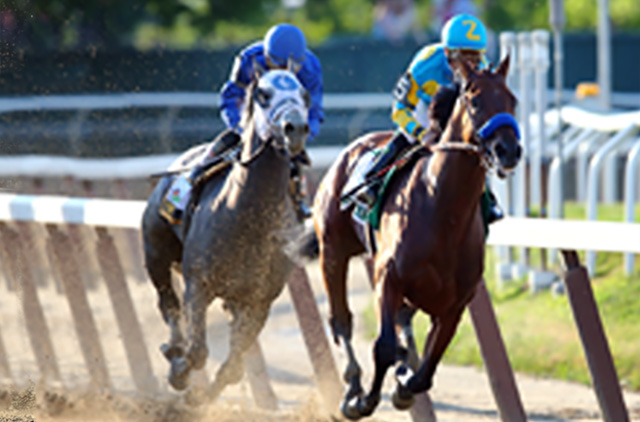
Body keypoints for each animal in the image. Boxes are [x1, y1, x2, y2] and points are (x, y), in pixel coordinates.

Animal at [141, 67, 311, 399]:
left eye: (304, 93)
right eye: (263, 94)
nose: (295, 128)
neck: (246, 217)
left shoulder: (259, 300)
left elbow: (233, 368)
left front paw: (201, 399)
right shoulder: (198, 282)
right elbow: (197, 352)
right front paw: (180, 372)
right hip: (156, 253)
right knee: (168, 304)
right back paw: (173, 350)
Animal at [297, 56, 521, 419]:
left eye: (512, 100)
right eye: (474, 100)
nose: (508, 150)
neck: (442, 211)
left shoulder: (455, 304)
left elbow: (425, 372)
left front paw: (404, 383)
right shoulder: (388, 278)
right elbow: (384, 347)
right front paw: (366, 399)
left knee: (402, 322)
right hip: (333, 251)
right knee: (341, 320)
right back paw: (353, 388)